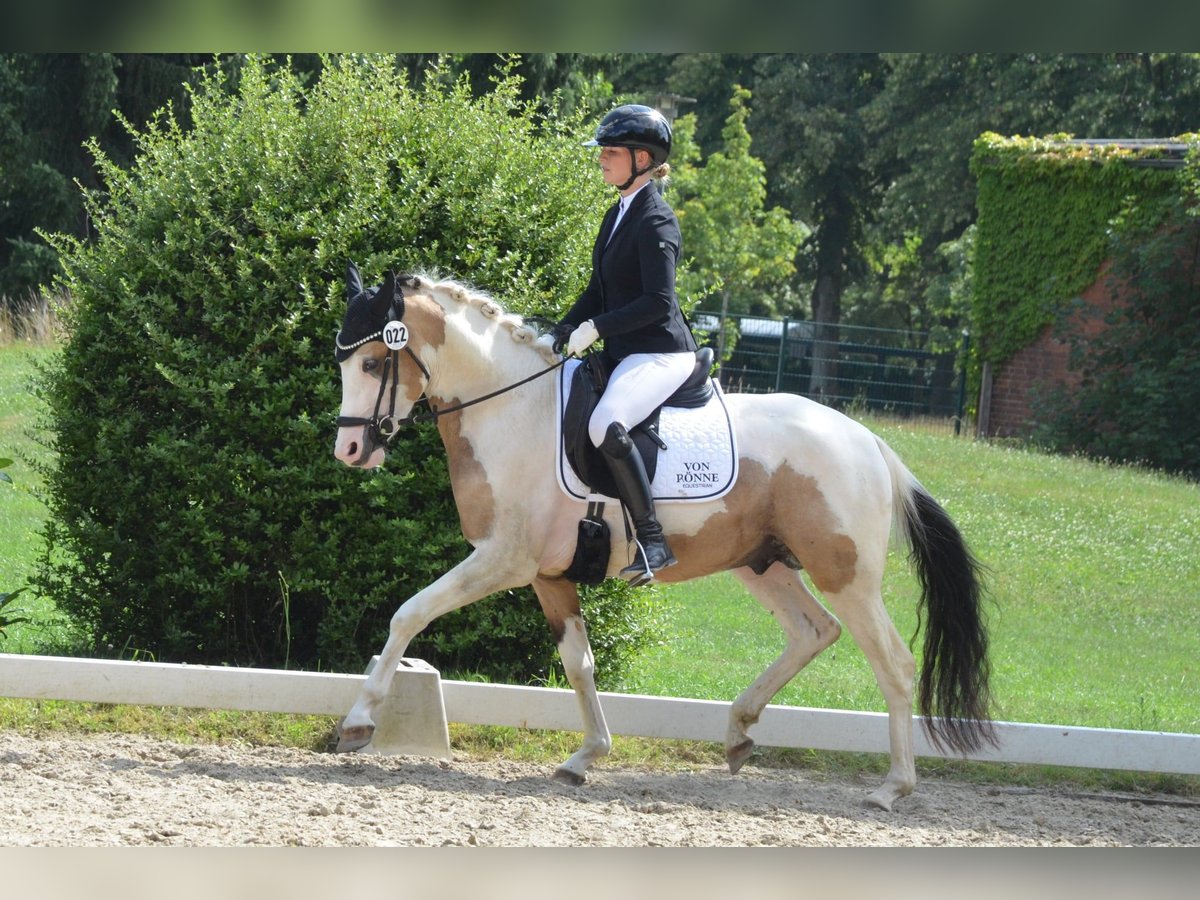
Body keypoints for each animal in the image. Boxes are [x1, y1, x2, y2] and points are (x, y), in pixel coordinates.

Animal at [331, 264, 994, 812]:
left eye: (372, 363)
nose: (351, 450)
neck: (514, 410)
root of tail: (868, 440)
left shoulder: (502, 559)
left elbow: (409, 613)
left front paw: (359, 723)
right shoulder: (547, 574)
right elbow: (579, 663)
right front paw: (585, 756)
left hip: (845, 574)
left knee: (894, 663)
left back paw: (892, 787)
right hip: (762, 564)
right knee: (813, 631)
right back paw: (738, 732)